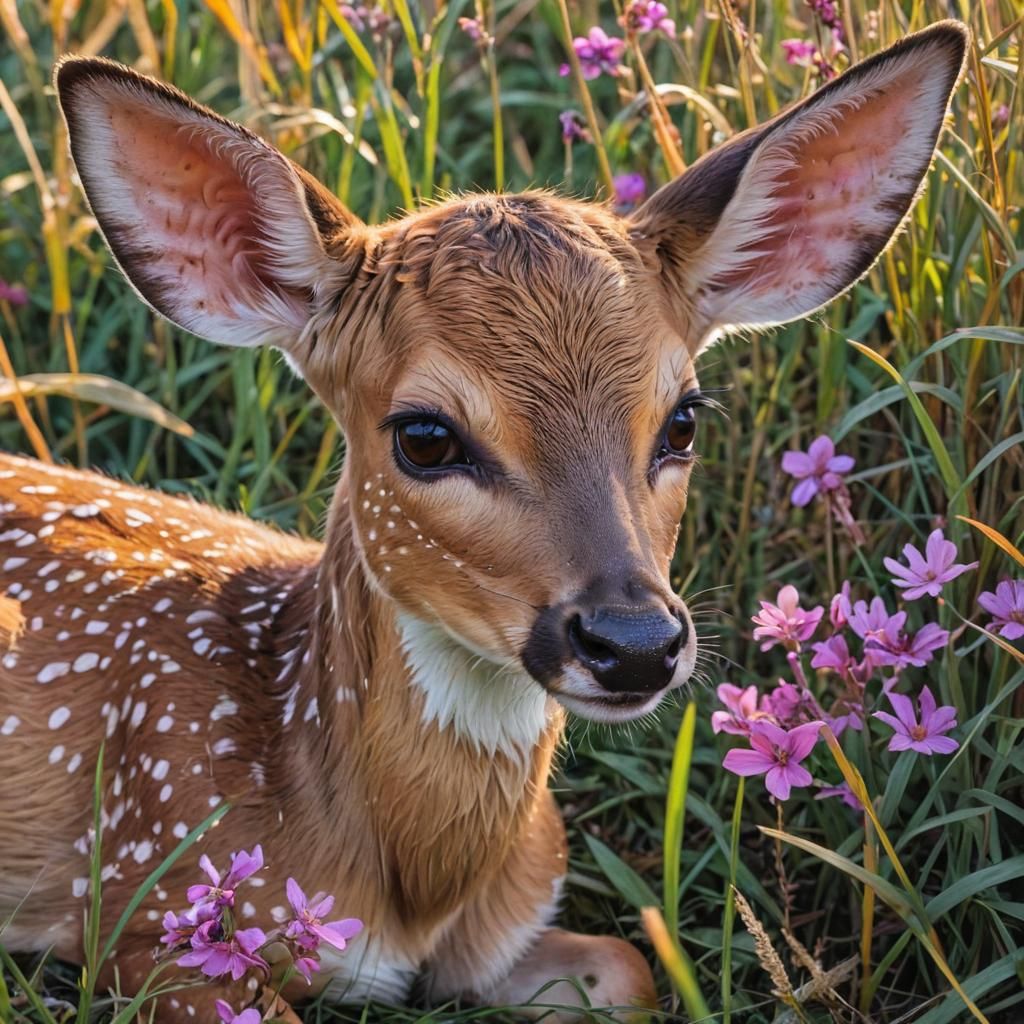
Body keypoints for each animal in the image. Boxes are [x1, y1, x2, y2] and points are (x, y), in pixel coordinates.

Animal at [0, 21, 967, 1022]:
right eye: (425, 437)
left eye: (685, 420)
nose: (633, 644)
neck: (413, 895)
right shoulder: (151, 912)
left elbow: (631, 965)